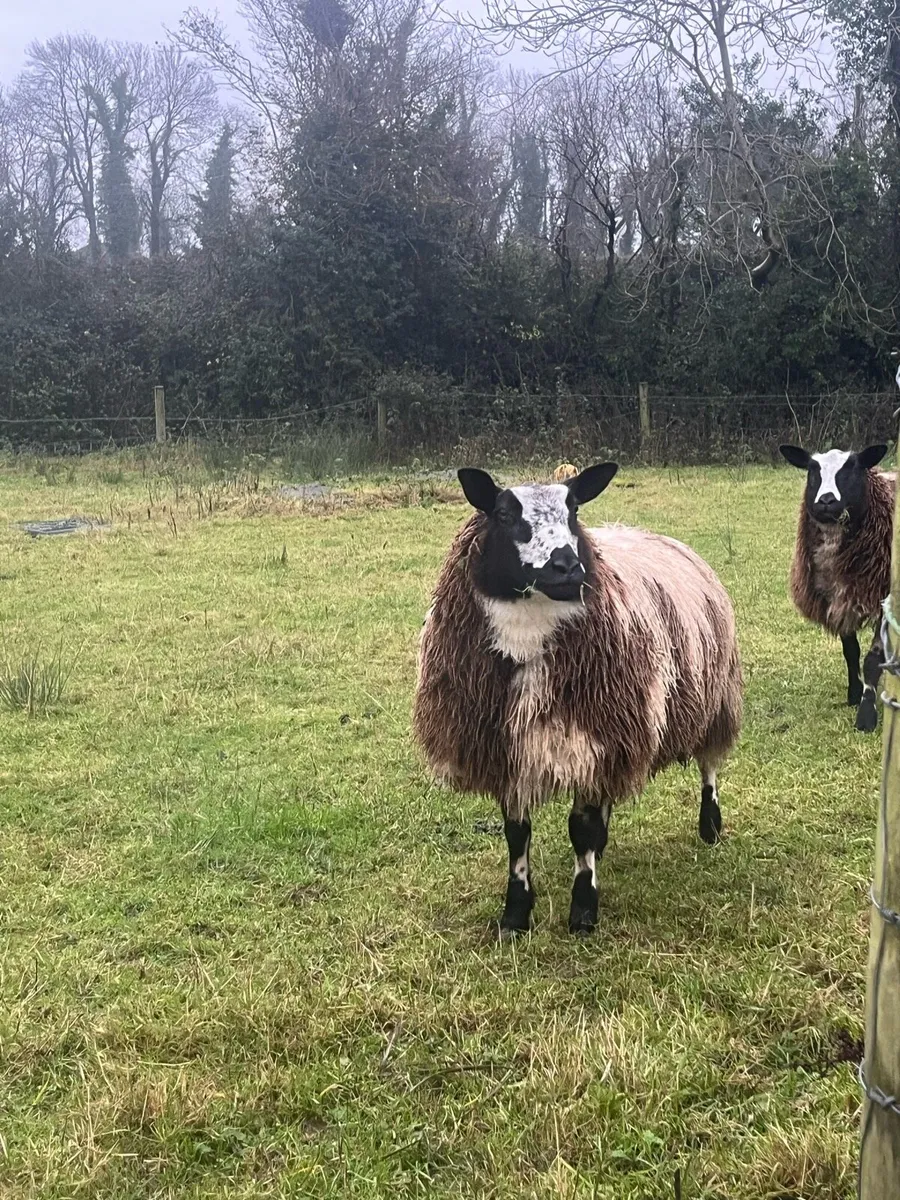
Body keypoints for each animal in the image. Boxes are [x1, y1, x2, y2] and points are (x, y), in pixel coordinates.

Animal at [413, 463, 743, 937]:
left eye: (573, 511)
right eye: (503, 513)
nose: (568, 566)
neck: (528, 633)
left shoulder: (592, 732)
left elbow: (580, 829)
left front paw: (583, 911)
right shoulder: (510, 748)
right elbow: (517, 833)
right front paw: (515, 914)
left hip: (712, 699)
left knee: (709, 767)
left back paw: (710, 826)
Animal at [779, 443, 894, 733]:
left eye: (853, 467)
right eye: (812, 470)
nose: (826, 501)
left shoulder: (882, 600)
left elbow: (872, 660)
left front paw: (866, 715)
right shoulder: (840, 596)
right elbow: (850, 652)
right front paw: (854, 694)